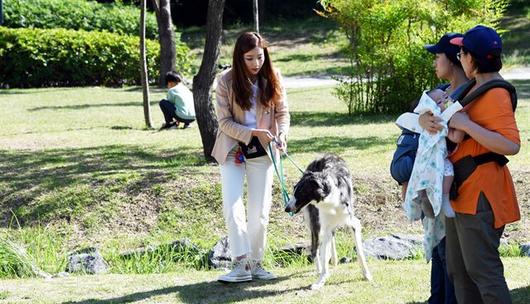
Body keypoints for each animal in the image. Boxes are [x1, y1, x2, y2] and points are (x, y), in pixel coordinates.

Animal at [284, 154, 372, 290]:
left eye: (301, 192)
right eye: (294, 190)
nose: (286, 209)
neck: (331, 197)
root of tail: (323, 156)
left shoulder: (353, 223)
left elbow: (360, 253)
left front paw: (366, 274)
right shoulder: (323, 226)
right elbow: (323, 254)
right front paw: (320, 281)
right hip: (315, 223)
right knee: (315, 248)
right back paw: (320, 268)